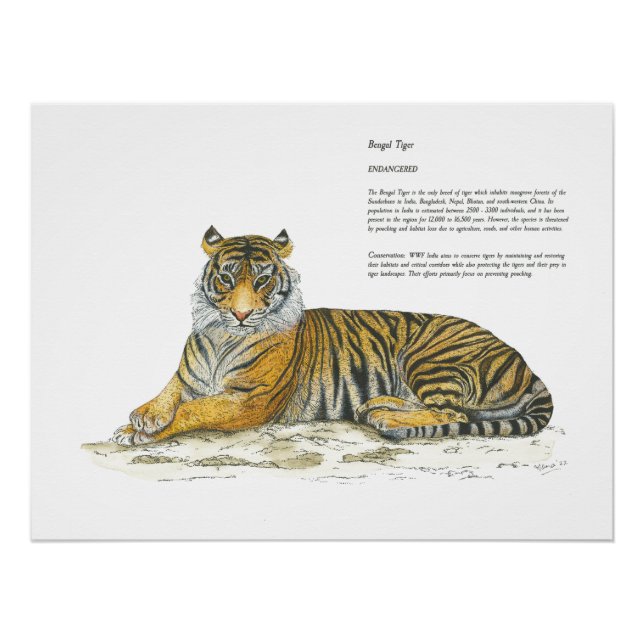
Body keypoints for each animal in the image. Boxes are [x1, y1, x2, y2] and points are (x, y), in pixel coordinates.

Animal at [113, 226, 553, 446]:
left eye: (262, 279)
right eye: (226, 277)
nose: (240, 314)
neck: (223, 337)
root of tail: (527, 365)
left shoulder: (250, 399)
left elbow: (196, 409)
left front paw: (140, 432)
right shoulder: (188, 376)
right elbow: (171, 391)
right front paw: (141, 418)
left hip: (429, 355)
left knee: (454, 412)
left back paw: (386, 417)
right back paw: (375, 405)